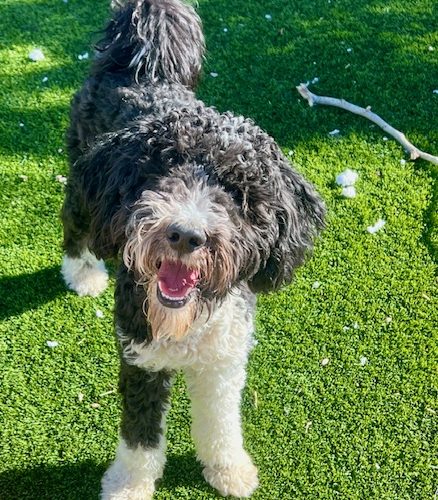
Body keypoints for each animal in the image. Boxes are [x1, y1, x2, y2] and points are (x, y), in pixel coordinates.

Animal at [61, 0, 325, 497]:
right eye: (161, 170)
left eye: (238, 193)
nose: (186, 234)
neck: (184, 320)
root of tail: (139, 62)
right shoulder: (140, 356)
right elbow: (140, 435)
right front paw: (129, 484)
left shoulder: (223, 357)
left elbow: (221, 421)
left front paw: (229, 469)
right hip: (84, 181)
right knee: (74, 223)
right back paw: (81, 273)